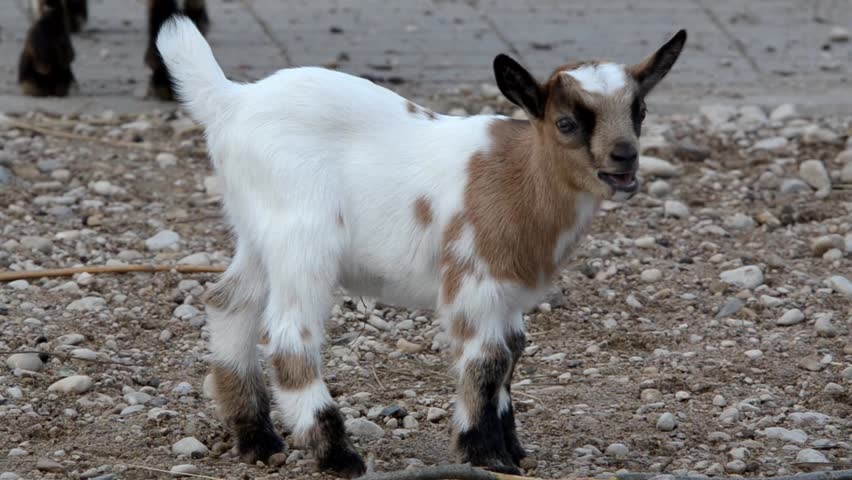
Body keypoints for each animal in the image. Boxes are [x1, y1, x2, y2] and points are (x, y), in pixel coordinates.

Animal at [157, 16, 686, 477]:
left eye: (639, 111)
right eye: (566, 123)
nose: (624, 159)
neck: (518, 177)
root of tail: (232, 100)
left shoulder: (509, 295)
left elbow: (512, 354)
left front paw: (510, 446)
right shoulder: (474, 282)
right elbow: (489, 361)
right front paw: (486, 455)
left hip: (258, 234)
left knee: (228, 303)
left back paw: (258, 440)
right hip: (303, 239)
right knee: (289, 337)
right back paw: (337, 455)